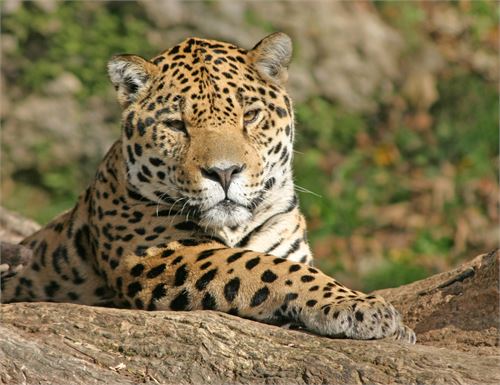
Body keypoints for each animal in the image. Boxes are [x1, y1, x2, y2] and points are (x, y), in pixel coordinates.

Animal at [0, 33, 414, 342]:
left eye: (250, 116)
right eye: (176, 125)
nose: (225, 173)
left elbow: (283, 264)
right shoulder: (159, 256)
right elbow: (265, 267)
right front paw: (363, 308)